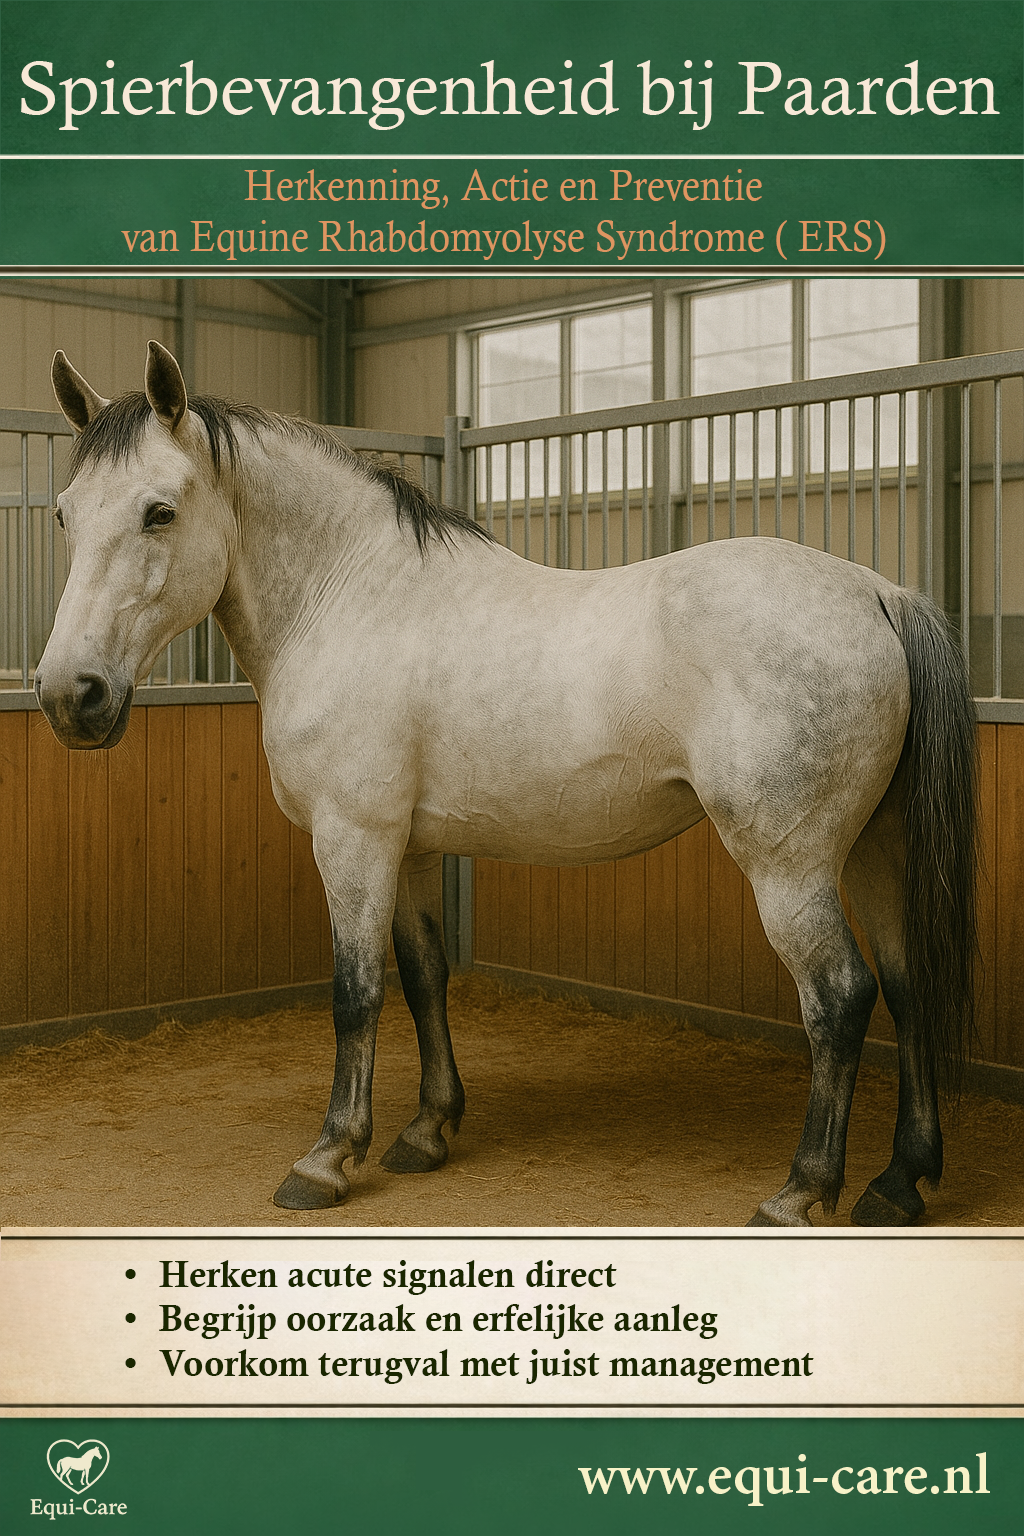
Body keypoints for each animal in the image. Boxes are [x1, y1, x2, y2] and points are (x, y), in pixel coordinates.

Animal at [36, 340, 978, 1227]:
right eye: (64, 514)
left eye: (160, 511)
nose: (69, 697)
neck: (348, 598)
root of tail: (880, 594)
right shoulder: (409, 849)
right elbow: (423, 978)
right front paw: (427, 1132)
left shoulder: (352, 840)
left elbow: (355, 993)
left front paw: (328, 1158)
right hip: (874, 850)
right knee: (908, 988)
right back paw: (899, 1184)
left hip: (790, 868)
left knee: (841, 999)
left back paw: (799, 1192)